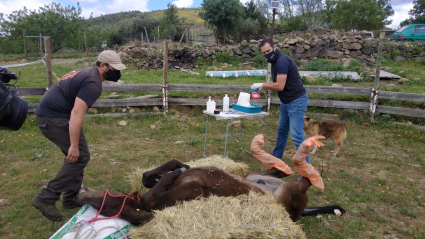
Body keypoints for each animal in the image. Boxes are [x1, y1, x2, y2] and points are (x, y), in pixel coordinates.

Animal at [78, 135, 344, 225]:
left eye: (100, 202)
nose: (81, 193)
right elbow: (149, 178)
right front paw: (177, 168)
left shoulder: (193, 187)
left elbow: (147, 196)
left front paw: (174, 171)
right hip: (257, 177)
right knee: (286, 170)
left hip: (290, 191)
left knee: (303, 178)